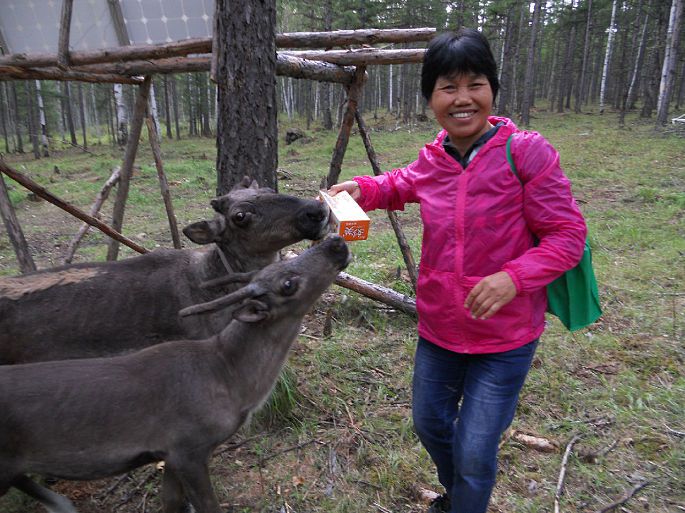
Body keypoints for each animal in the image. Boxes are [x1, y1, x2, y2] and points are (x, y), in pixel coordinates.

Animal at [0, 235, 350, 513]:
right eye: (288, 284)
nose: (336, 242)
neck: (233, 381)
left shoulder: (168, 451)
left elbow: (170, 502)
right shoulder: (188, 446)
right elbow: (206, 506)